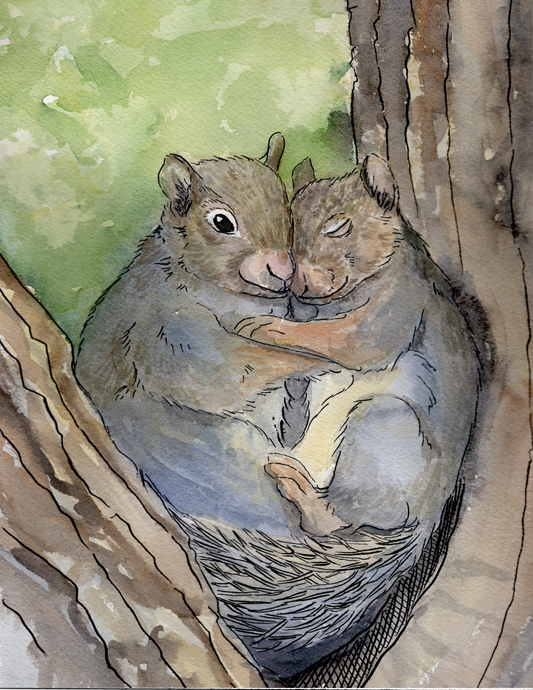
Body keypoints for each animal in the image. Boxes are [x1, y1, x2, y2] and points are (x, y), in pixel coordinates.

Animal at [75, 143, 479, 680]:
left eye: (338, 226)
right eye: (220, 221)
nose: (290, 275)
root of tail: (428, 523)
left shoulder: (396, 306)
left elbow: (346, 342)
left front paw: (270, 330)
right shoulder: (167, 331)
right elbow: (230, 372)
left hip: (383, 432)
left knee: (353, 512)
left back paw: (309, 497)